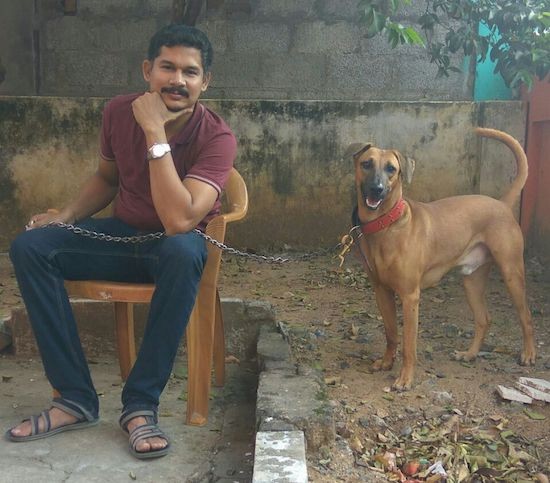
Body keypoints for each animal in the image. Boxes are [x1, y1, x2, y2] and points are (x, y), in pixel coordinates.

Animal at [352, 127, 536, 390]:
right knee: (484, 319)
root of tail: (502, 204)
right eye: (366, 163)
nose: (377, 189)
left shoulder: (410, 297)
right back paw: (469, 354)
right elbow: (391, 333)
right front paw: (387, 362)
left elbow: (409, 344)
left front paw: (405, 379)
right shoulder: (381, 291)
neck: (387, 226)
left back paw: (528, 354)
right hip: (471, 282)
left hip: (512, 274)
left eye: (391, 169)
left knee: (526, 317)